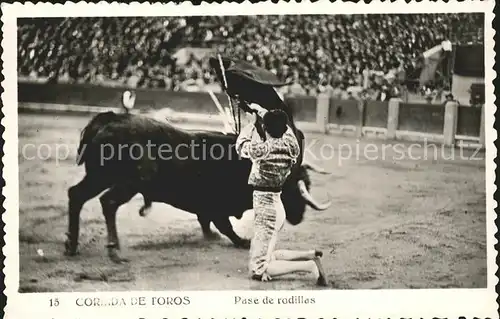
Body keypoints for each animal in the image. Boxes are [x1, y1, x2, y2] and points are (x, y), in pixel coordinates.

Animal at [66, 111, 332, 264]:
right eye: (293, 188)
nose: (298, 216)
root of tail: (108, 119)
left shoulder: (207, 206)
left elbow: (207, 221)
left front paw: (210, 236)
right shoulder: (217, 205)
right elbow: (224, 225)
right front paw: (242, 241)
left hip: (98, 176)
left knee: (76, 195)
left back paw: (71, 245)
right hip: (126, 183)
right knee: (108, 202)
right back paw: (114, 252)